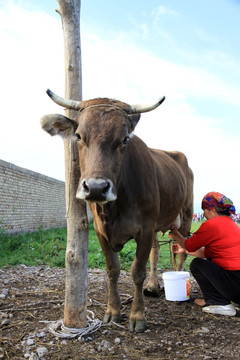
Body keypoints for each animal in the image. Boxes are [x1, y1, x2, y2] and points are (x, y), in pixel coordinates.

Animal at [39, 90, 193, 332]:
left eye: (124, 139)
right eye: (79, 136)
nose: (95, 187)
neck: (114, 209)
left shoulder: (145, 228)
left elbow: (137, 271)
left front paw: (137, 316)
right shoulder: (100, 230)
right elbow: (113, 269)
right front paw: (113, 311)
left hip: (186, 214)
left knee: (182, 249)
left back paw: (178, 278)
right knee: (157, 250)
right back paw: (152, 285)